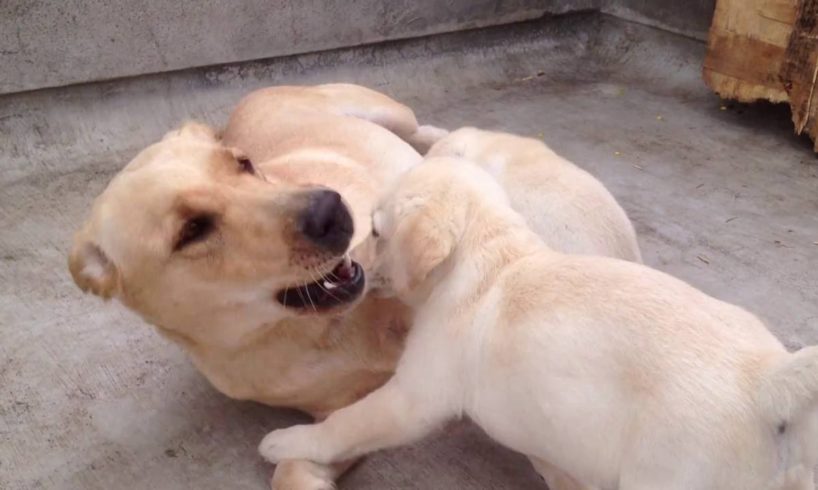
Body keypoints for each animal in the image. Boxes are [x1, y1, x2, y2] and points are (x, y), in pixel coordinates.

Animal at [260, 156, 816, 490]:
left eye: (376, 232)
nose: (351, 261)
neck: (487, 257)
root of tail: (767, 376)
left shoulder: (413, 398)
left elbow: (345, 425)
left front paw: (286, 442)